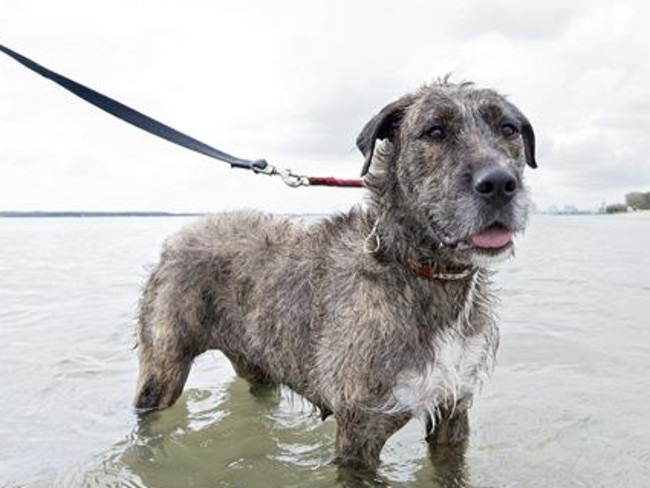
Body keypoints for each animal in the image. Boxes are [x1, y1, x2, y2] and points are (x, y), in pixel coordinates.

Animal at [133, 78, 536, 470]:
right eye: (435, 131)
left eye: (508, 128)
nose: (499, 184)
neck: (422, 272)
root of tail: (177, 238)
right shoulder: (360, 429)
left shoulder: (453, 411)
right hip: (163, 369)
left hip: (256, 362)